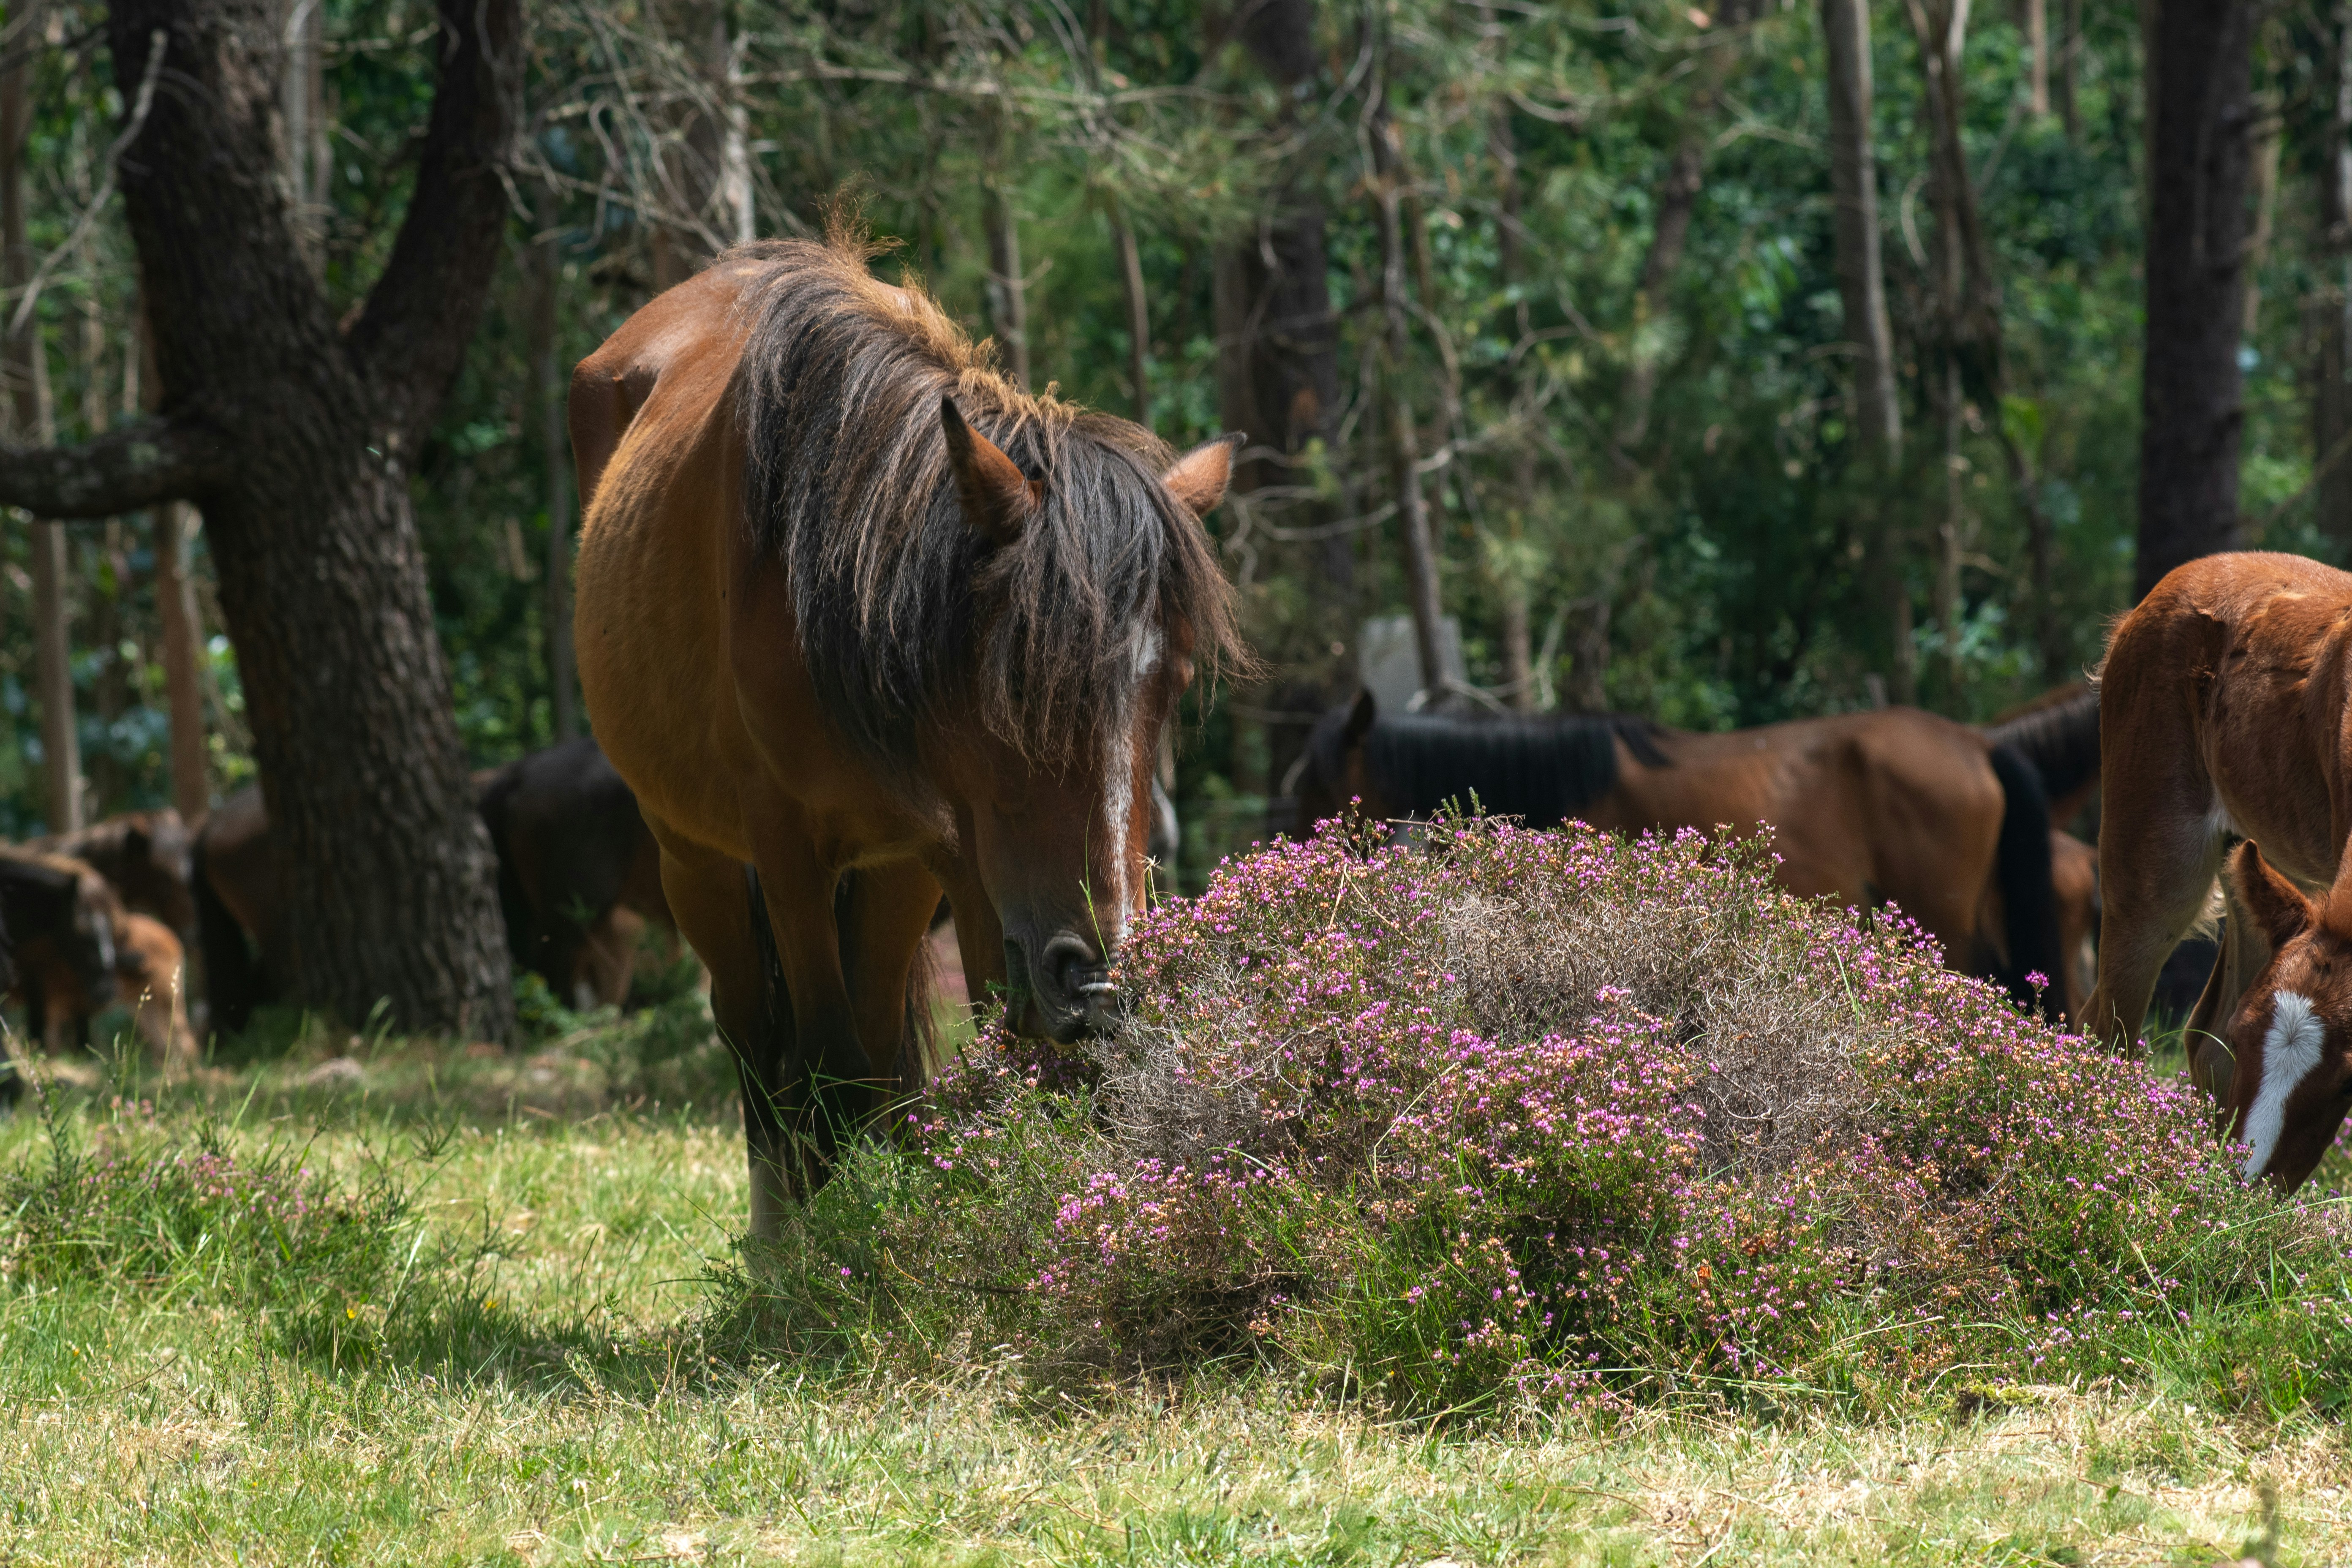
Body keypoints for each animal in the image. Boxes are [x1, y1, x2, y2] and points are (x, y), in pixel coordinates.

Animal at [568, 231, 1241, 1232]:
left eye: (1173, 684)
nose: (1099, 979)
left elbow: (960, 1059)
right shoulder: (791, 855)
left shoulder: (947, 863)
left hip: (888, 879)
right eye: (1018, 676)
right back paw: (775, 1231)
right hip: (693, 856)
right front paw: (833, 1257)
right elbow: (826, 1061)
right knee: (751, 1032)